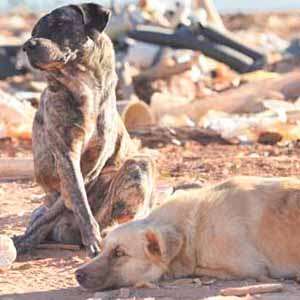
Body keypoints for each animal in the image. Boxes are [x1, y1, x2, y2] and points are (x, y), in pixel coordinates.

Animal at [17, 2, 155, 255]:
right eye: (34, 31)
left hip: (140, 164)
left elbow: (73, 197)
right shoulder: (66, 154)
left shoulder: (92, 162)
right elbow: (76, 196)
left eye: (59, 23)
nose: (26, 45)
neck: (82, 82)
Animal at [75, 176, 300, 290]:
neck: (193, 228)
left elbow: (194, 268)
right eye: (102, 250)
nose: (77, 274)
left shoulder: (249, 268)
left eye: (119, 253)